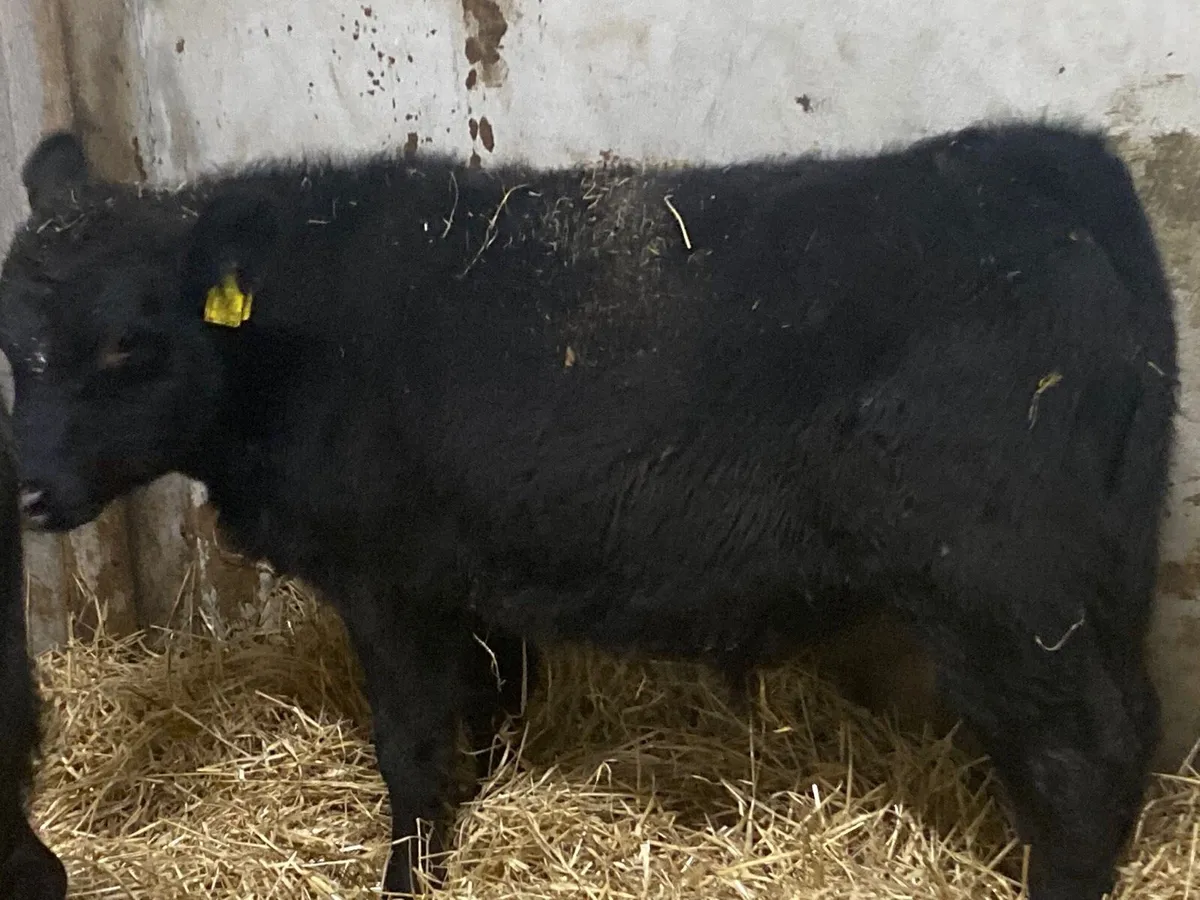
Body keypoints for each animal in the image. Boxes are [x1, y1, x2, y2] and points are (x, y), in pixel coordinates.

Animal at [0, 123, 1178, 900]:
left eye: (128, 342)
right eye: (15, 346)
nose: (24, 485)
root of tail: (1034, 157)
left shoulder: (386, 577)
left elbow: (410, 741)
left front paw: (406, 878)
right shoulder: (470, 564)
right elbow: (488, 704)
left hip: (1004, 587)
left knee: (1080, 761)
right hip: (1097, 570)